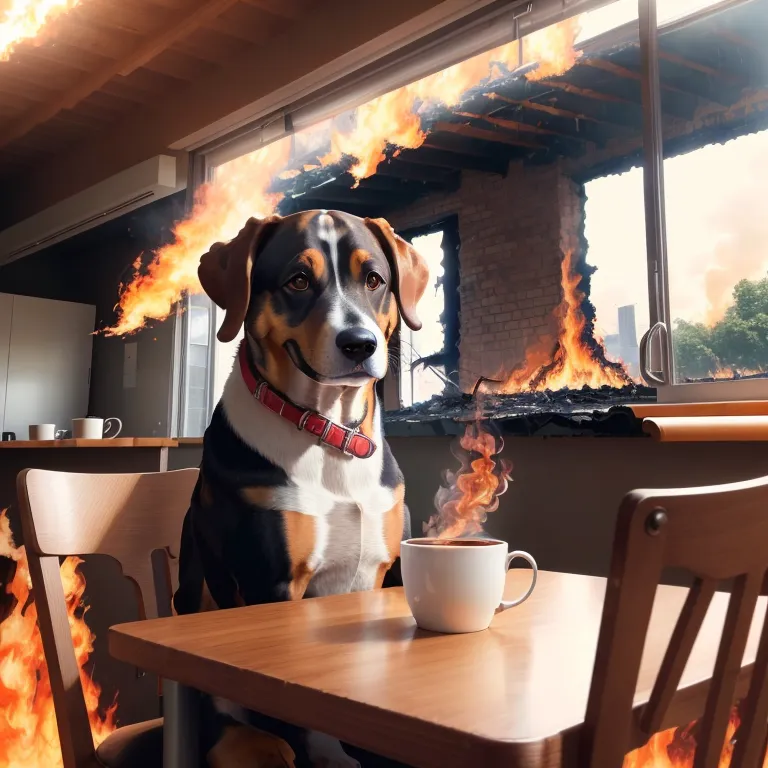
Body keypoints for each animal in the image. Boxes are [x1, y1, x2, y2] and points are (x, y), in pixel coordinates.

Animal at [171, 210, 428, 768]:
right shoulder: (272, 581)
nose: (359, 344)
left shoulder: (385, 570)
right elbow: (293, 717)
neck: (328, 434)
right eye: (297, 280)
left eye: (373, 280)